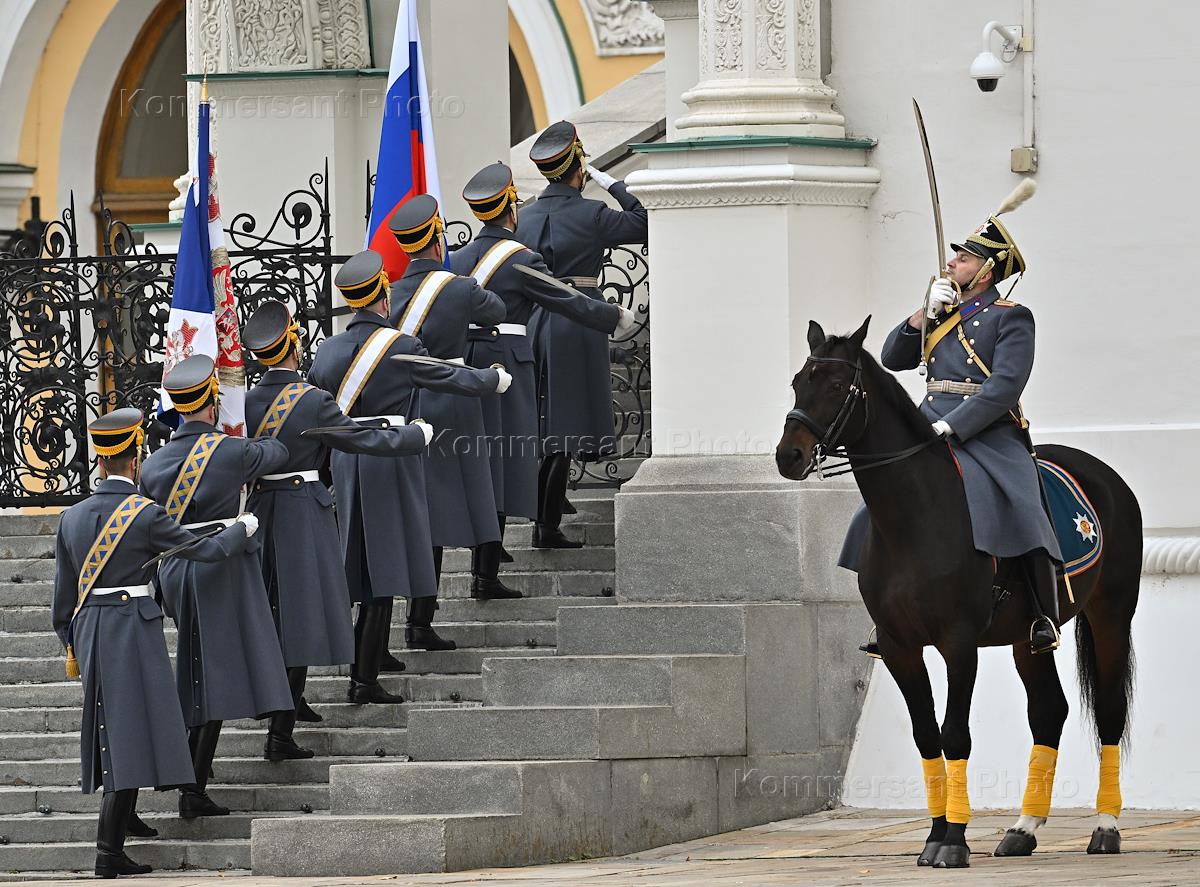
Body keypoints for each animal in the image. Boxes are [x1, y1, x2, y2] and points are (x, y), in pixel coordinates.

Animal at [772, 319, 1137, 868]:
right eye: (798, 381)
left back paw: (1105, 826)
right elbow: (927, 736)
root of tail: (1107, 474)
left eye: (836, 385)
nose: (787, 456)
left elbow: (954, 733)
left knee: (1110, 711)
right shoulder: (898, 647)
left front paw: (955, 840)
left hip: (1111, 614)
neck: (913, 516)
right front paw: (935, 833)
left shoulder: (959, 642)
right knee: (1048, 711)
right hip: (1026, 638)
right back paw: (1023, 829)